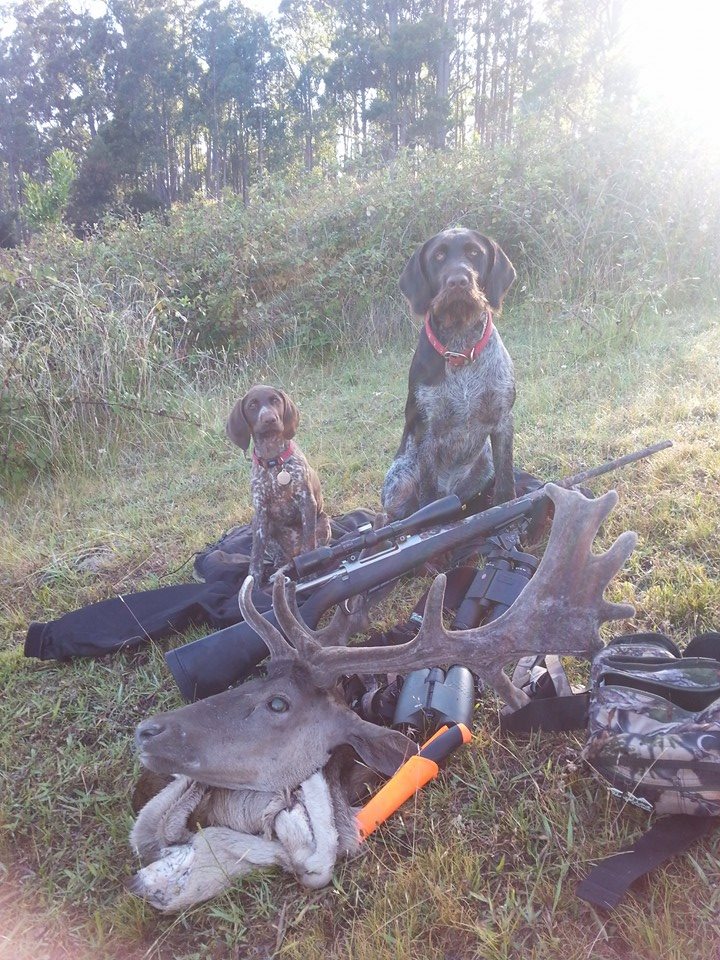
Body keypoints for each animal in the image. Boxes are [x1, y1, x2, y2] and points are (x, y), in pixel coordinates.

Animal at [226, 384, 330, 580]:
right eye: (252, 405)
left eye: (275, 400)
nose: (269, 419)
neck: (273, 459)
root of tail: (293, 552)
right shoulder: (260, 514)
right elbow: (255, 558)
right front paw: (254, 582)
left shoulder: (307, 502)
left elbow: (309, 546)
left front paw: (310, 574)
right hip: (268, 532)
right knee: (281, 559)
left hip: (323, 522)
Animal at [382, 229, 516, 520]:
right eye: (439, 256)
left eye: (474, 252)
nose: (458, 281)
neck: (460, 349)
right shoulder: (427, 434)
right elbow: (428, 494)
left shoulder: (503, 421)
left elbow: (506, 480)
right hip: (398, 482)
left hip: (484, 467)